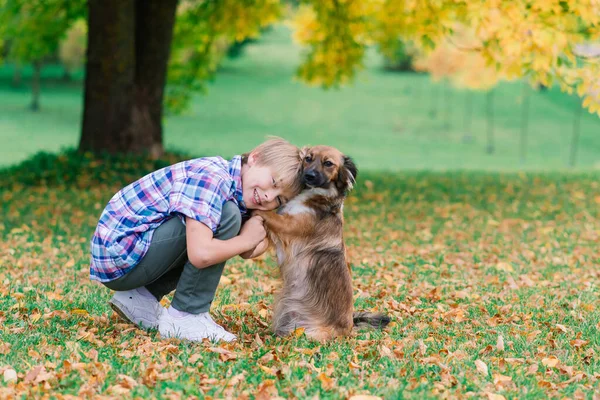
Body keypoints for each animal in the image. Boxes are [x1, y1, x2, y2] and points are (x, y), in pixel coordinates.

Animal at [253, 145, 390, 340]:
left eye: (328, 163)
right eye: (308, 158)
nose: (308, 176)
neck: (315, 196)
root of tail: (349, 328)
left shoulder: (288, 226)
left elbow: (265, 213)